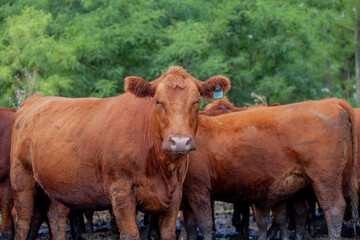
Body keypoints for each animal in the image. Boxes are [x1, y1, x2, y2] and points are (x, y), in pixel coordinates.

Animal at [10, 66, 231, 240]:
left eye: (196, 102)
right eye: (158, 101)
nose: (179, 142)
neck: (162, 169)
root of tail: (34, 99)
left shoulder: (175, 195)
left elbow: (168, 233)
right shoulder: (121, 193)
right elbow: (130, 234)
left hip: (59, 183)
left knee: (56, 218)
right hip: (21, 178)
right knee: (22, 219)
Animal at [183, 97, 358, 240]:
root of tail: (333, 102)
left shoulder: (198, 188)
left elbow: (204, 223)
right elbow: (189, 225)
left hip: (325, 178)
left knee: (334, 209)